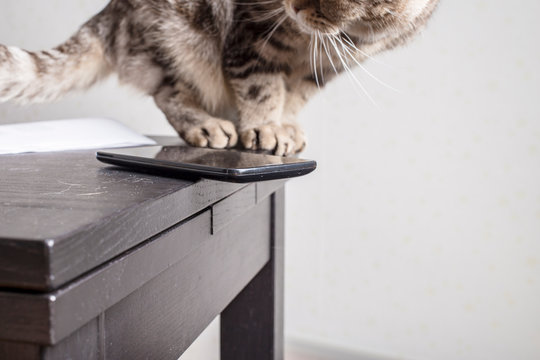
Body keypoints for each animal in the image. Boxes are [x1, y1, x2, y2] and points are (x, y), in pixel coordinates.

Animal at [0, 1, 438, 156]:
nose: (294, 5)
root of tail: (110, 12)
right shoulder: (252, 39)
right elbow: (263, 89)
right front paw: (265, 128)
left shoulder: (324, 66)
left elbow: (294, 96)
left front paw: (285, 127)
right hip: (176, 40)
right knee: (169, 94)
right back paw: (208, 126)